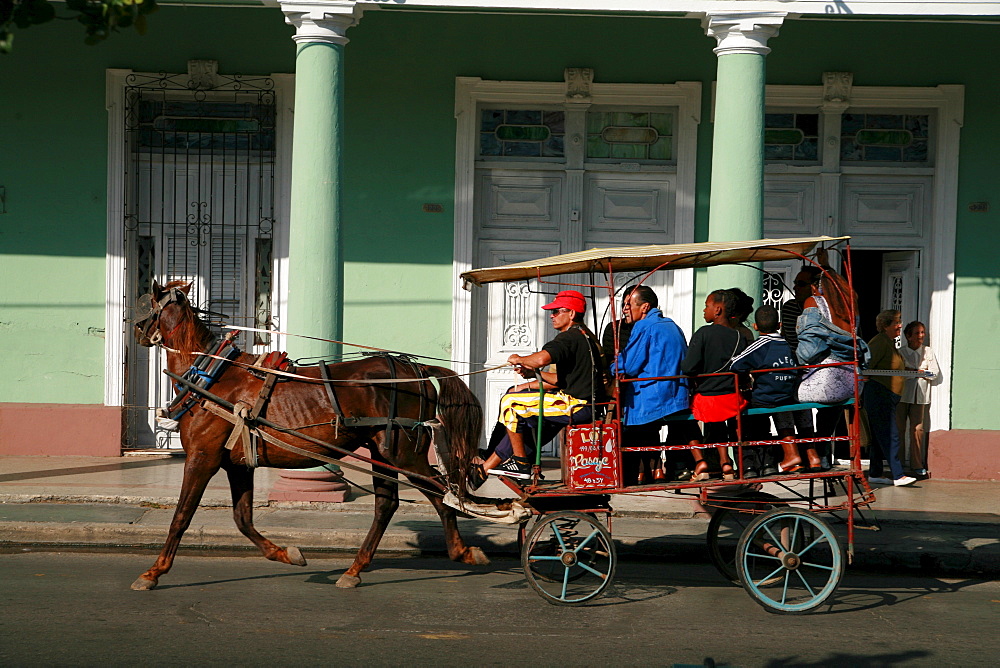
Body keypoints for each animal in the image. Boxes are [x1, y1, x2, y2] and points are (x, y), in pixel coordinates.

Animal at [129, 280, 488, 588]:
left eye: (143, 304)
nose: (131, 327)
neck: (211, 374)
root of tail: (418, 370)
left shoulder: (203, 457)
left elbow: (181, 516)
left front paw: (154, 571)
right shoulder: (238, 463)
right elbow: (242, 518)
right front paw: (285, 553)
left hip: (403, 452)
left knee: (441, 492)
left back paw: (462, 551)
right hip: (382, 450)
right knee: (388, 504)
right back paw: (356, 568)